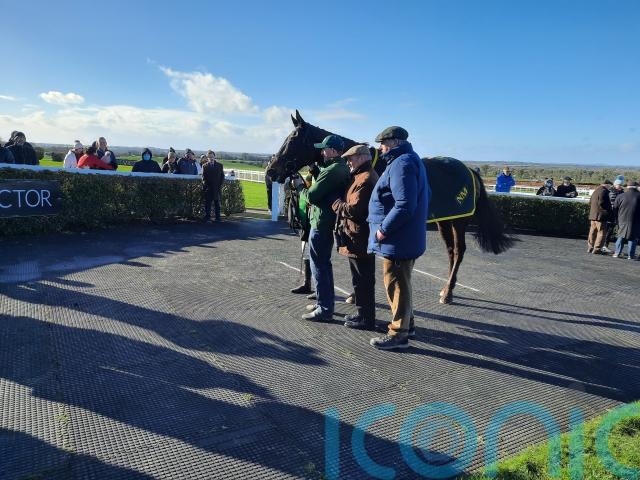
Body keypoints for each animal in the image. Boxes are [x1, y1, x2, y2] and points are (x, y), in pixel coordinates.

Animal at [266, 110, 513, 304]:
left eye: (292, 139)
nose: (271, 171)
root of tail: (470, 170)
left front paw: (356, 295)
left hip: (459, 220)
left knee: (459, 251)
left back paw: (448, 293)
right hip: (445, 220)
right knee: (452, 251)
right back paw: (447, 288)